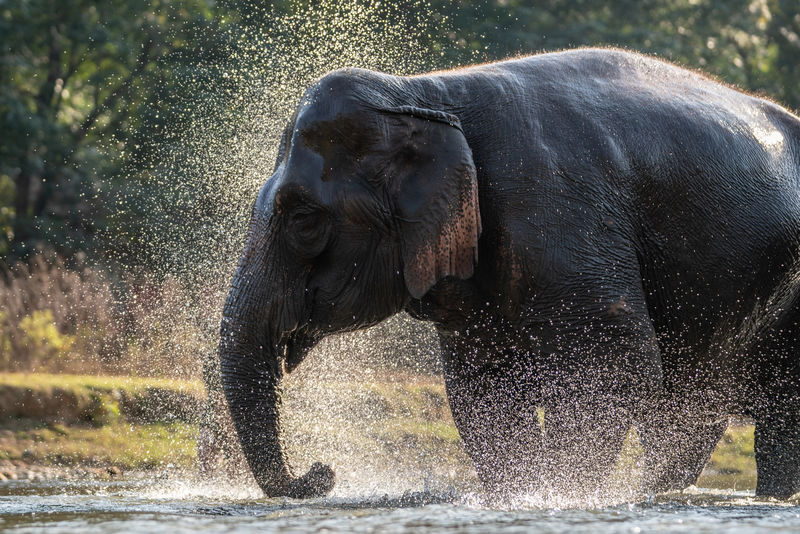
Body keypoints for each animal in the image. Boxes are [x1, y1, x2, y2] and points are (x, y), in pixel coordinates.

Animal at [217, 48, 800, 500]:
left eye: (304, 220)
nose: (322, 474)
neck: (427, 94)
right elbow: (482, 384)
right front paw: (521, 493)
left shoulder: (558, 211)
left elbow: (612, 360)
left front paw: (561, 494)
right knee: (693, 413)